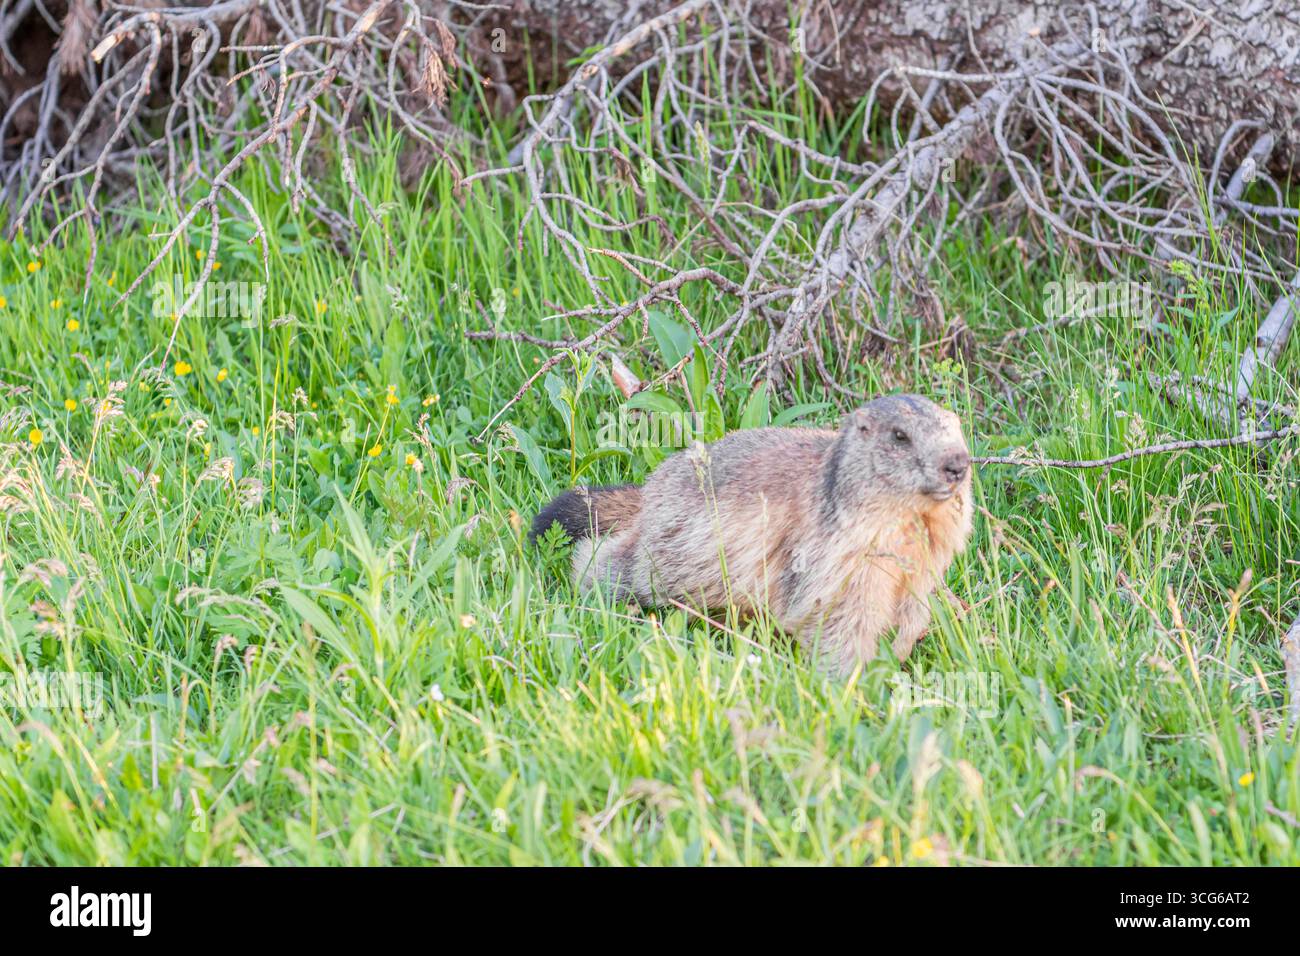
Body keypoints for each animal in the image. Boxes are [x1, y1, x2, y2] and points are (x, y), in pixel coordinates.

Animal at [530, 394, 974, 676]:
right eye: (900, 436)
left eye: (955, 427)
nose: (958, 463)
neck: (911, 521)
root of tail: (650, 489)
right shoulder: (840, 559)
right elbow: (843, 617)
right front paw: (847, 685)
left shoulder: (926, 559)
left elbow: (916, 602)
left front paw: (900, 647)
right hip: (666, 554)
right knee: (615, 562)